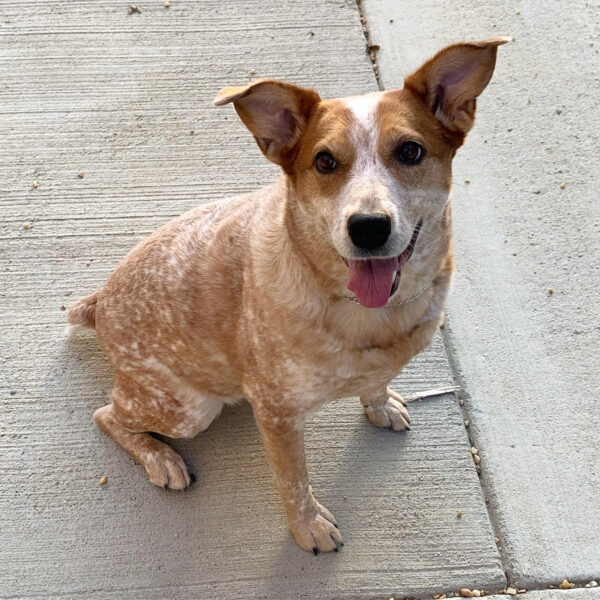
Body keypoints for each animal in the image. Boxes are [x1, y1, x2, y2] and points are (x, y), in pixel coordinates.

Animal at [67, 37, 506, 552]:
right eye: (324, 161)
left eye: (411, 151)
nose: (368, 227)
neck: (359, 311)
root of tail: (102, 300)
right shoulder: (277, 415)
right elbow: (294, 482)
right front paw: (308, 527)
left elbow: (375, 385)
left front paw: (379, 405)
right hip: (188, 409)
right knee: (107, 413)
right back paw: (162, 458)